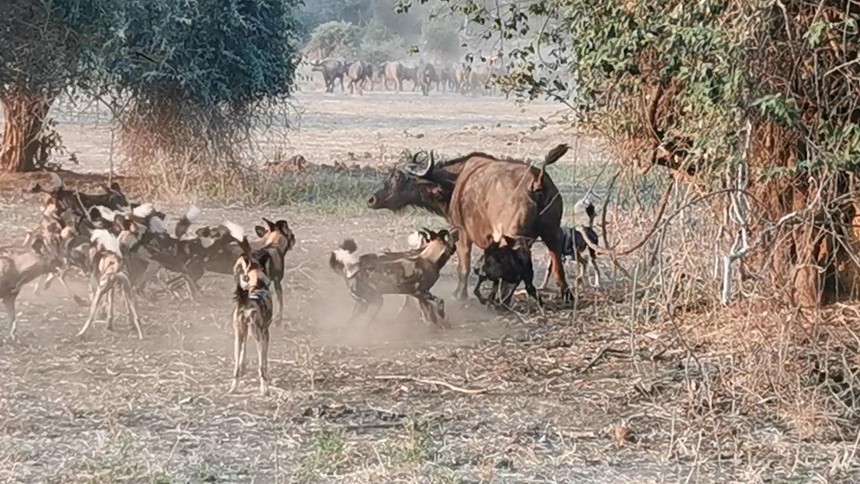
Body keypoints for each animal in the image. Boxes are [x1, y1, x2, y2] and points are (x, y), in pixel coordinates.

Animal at [368, 146, 576, 300]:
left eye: (397, 177)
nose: (371, 199)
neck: (454, 183)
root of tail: (536, 180)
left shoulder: (462, 234)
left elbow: (464, 267)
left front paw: (460, 295)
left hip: (513, 237)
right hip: (552, 233)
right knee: (557, 263)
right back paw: (565, 294)